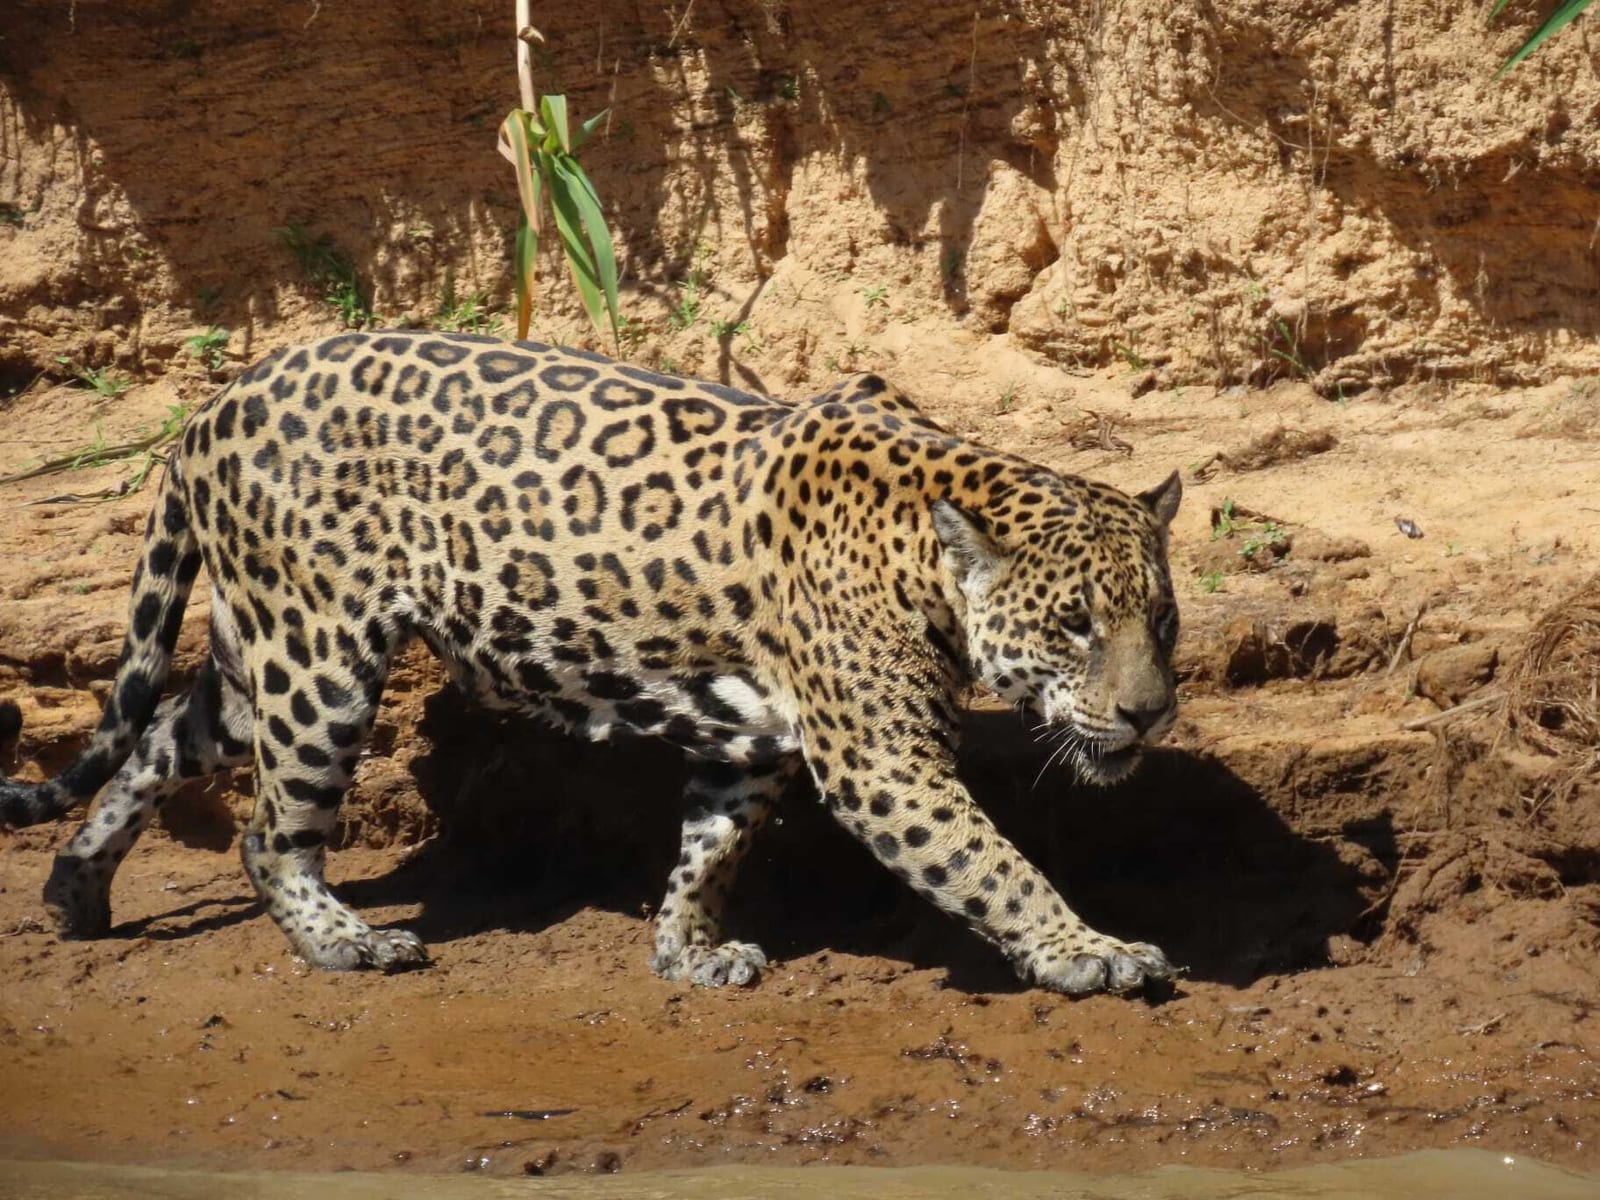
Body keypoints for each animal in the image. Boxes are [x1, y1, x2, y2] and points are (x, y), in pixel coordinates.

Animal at [0, 330, 1184, 996]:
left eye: (1162, 623)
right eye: (1074, 626)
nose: (1148, 716)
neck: (924, 548)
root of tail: (212, 403)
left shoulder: (749, 742)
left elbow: (712, 847)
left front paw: (687, 953)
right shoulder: (881, 761)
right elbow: (991, 862)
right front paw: (1088, 950)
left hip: (262, 654)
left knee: (164, 734)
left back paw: (75, 887)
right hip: (320, 661)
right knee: (265, 831)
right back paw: (346, 945)